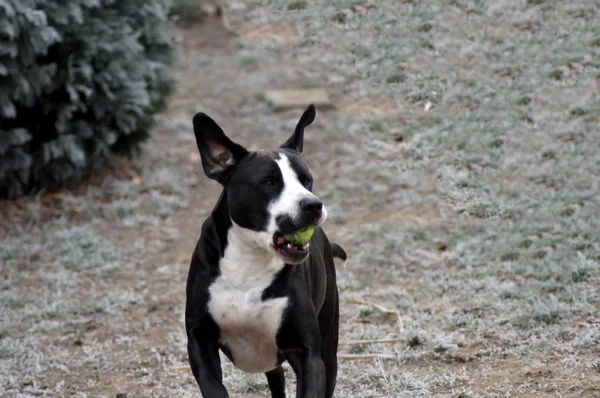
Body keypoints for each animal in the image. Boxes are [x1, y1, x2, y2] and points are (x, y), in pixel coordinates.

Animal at [186, 104, 346, 396]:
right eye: (269, 182)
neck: (251, 261)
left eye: (307, 181)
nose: (313, 205)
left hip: (329, 342)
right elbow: (214, 386)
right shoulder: (200, 341)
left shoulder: (309, 354)